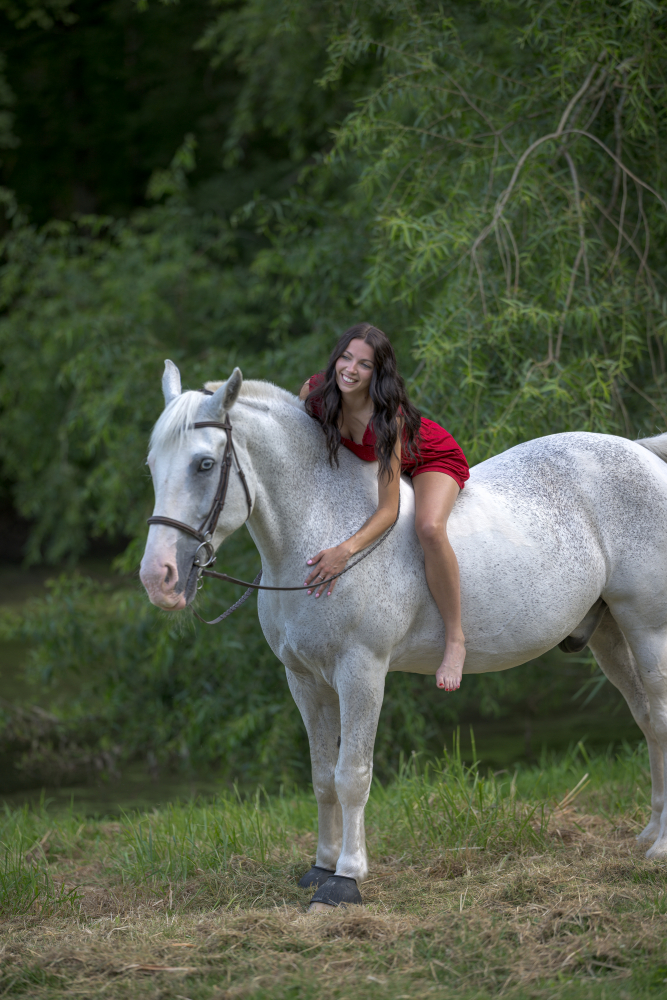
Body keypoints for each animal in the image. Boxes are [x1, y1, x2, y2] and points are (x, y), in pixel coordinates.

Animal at [140, 361, 667, 908]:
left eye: (204, 464)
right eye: (152, 465)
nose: (159, 578)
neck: (323, 526)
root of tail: (644, 455)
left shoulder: (361, 672)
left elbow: (352, 776)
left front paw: (345, 878)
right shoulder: (304, 682)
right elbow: (321, 778)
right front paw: (319, 866)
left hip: (648, 630)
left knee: (661, 717)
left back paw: (660, 847)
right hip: (609, 635)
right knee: (647, 721)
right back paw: (648, 832)